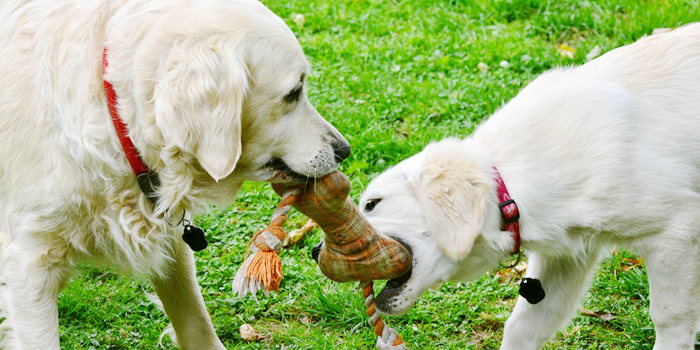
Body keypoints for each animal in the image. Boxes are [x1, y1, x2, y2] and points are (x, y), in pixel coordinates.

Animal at [0, 1, 350, 348]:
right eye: (293, 92)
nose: (344, 150)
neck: (115, 117)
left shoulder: (171, 243)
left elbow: (196, 323)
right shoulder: (30, 264)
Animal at [360, 23, 700, 348]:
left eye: (372, 203)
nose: (333, 250)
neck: (509, 188)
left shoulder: (675, 234)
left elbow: (669, 319)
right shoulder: (565, 258)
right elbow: (522, 327)